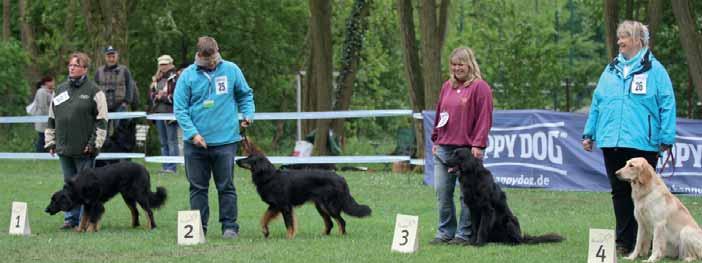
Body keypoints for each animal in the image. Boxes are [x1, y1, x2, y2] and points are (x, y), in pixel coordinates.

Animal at [236, 152, 372, 240]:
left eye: (249, 158)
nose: (236, 160)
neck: (270, 177)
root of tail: (341, 178)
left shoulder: (285, 206)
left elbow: (289, 224)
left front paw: (289, 238)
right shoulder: (274, 206)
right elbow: (264, 218)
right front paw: (265, 231)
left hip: (329, 206)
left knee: (341, 221)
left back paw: (341, 236)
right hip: (321, 206)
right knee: (330, 223)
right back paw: (322, 236)